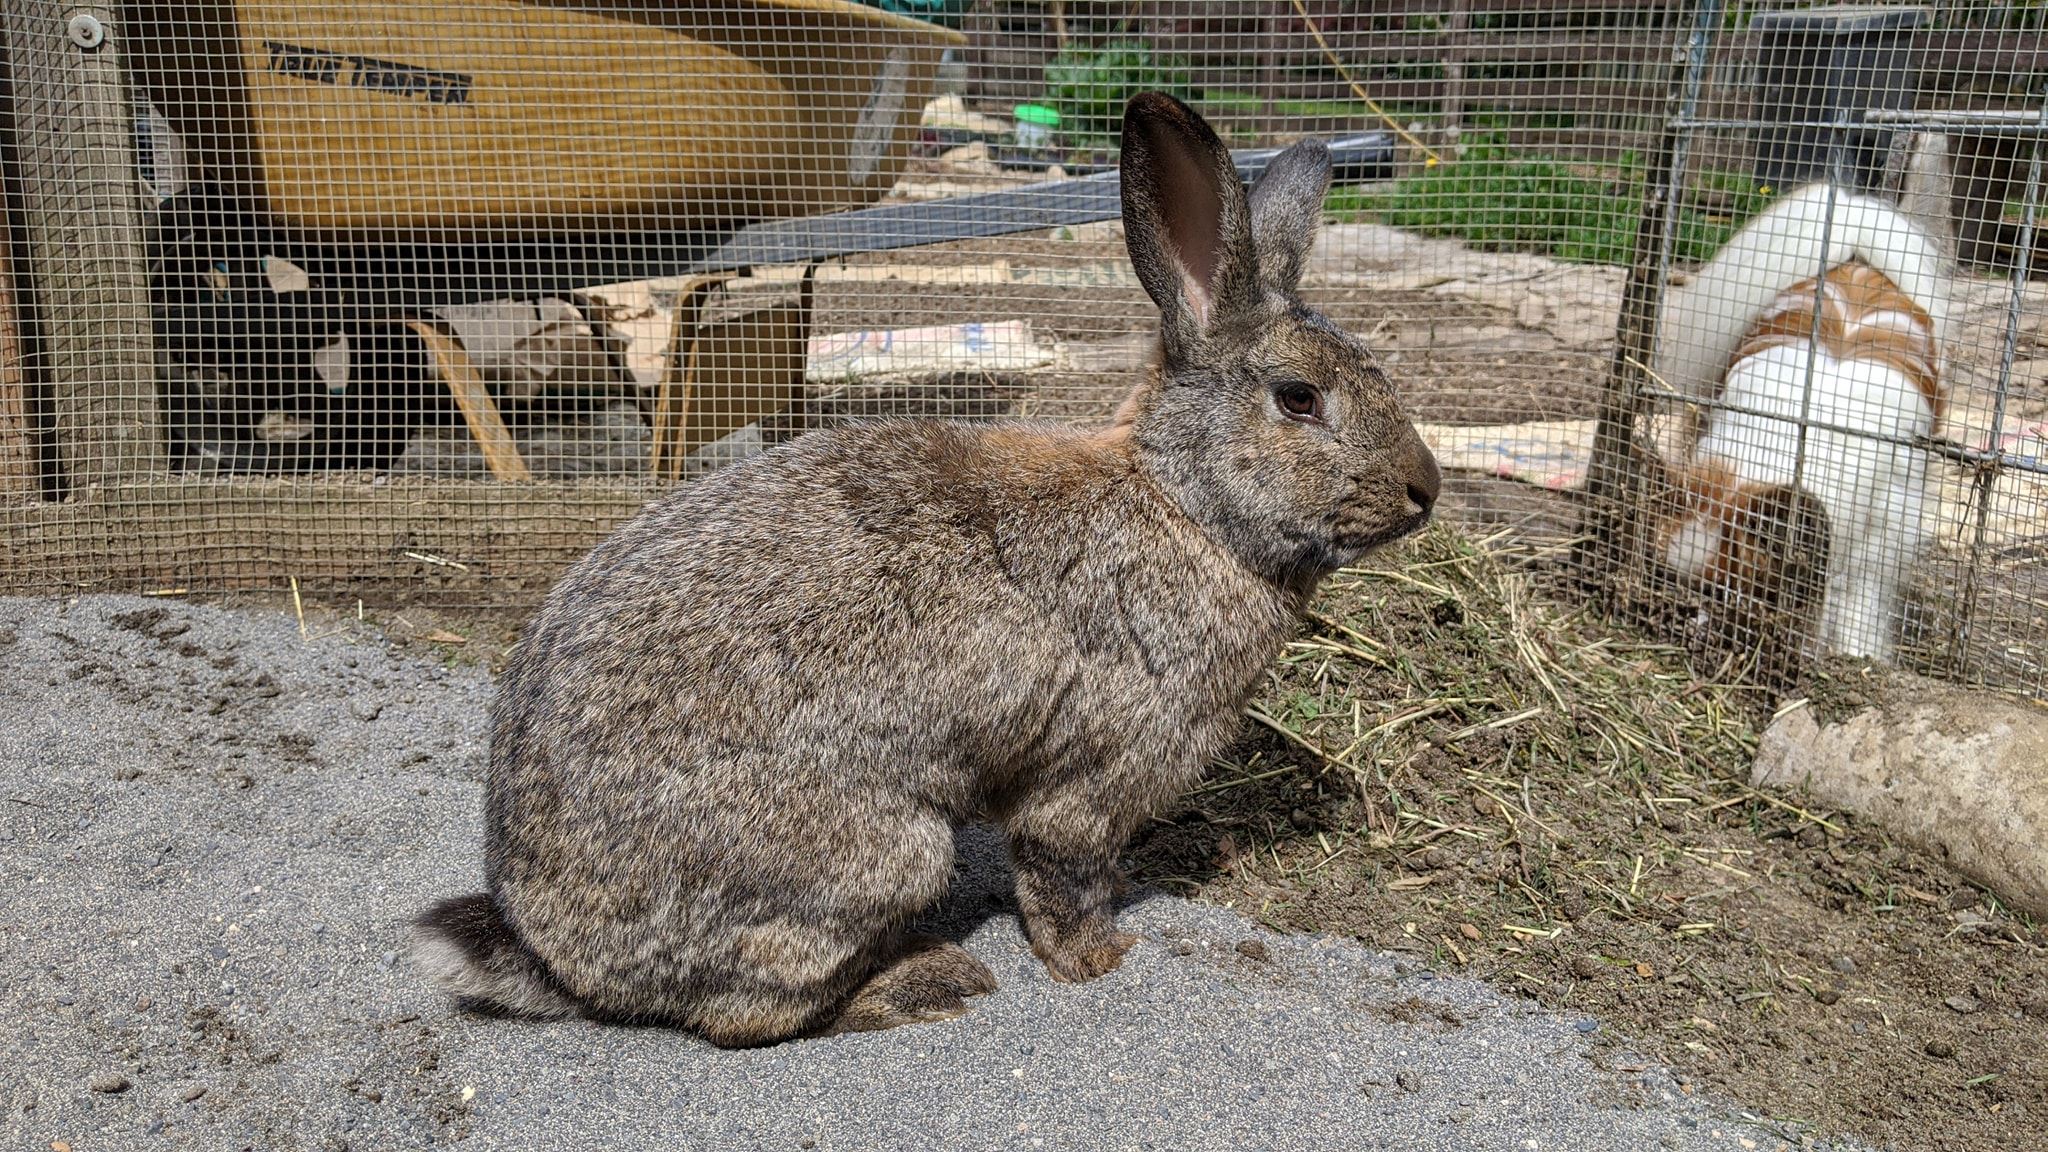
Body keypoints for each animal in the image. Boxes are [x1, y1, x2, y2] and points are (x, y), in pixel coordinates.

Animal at [409, 92, 1440, 1047]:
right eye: (1299, 399)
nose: (1426, 491)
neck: (1186, 504)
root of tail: (556, 954)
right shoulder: (1097, 773)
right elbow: (1061, 874)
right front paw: (1103, 959)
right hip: (882, 852)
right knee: (750, 1016)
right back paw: (928, 982)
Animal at [1650, 183, 1950, 663]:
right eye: (1666, 578)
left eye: (1724, 594)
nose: (1682, 615)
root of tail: (1855, 261)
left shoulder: (1884, 535)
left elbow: (1859, 601)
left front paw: (1857, 652)